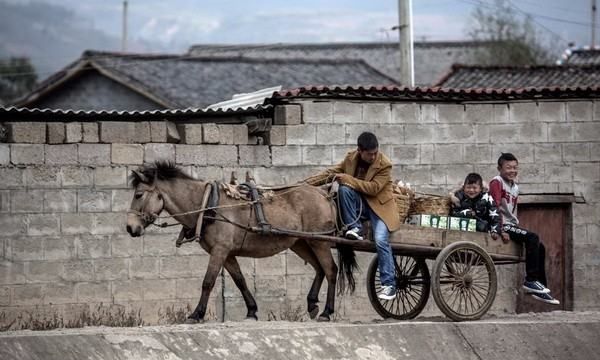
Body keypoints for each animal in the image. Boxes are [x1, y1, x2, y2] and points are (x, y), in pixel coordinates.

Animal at [124, 162, 354, 322]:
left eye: (139, 194)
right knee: (319, 269)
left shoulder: (220, 250)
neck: (208, 205)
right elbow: (240, 280)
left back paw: (326, 312)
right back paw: (312, 304)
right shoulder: (227, 253)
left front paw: (196, 314)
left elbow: (208, 282)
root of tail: (323, 194)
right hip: (302, 242)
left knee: (331, 270)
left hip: (319, 242)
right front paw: (251, 311)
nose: (130, 228)